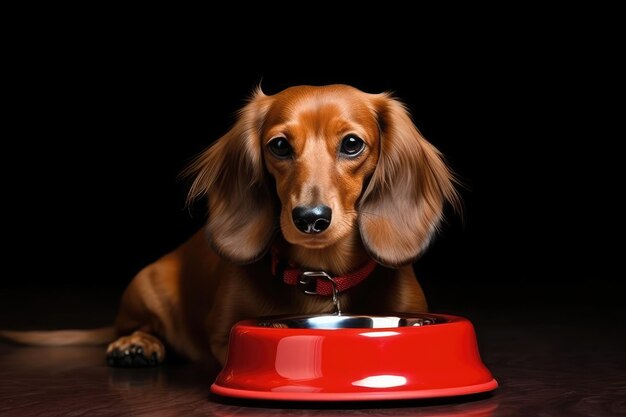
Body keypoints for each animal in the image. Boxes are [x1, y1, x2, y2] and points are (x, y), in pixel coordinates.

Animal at [0, 84, 458, 368]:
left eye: (351, 144)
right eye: (279, 146)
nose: (310, 219)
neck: (322, 275)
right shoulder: (224, 334)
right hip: (146, 285)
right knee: (137, 327)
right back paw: (136, 344)